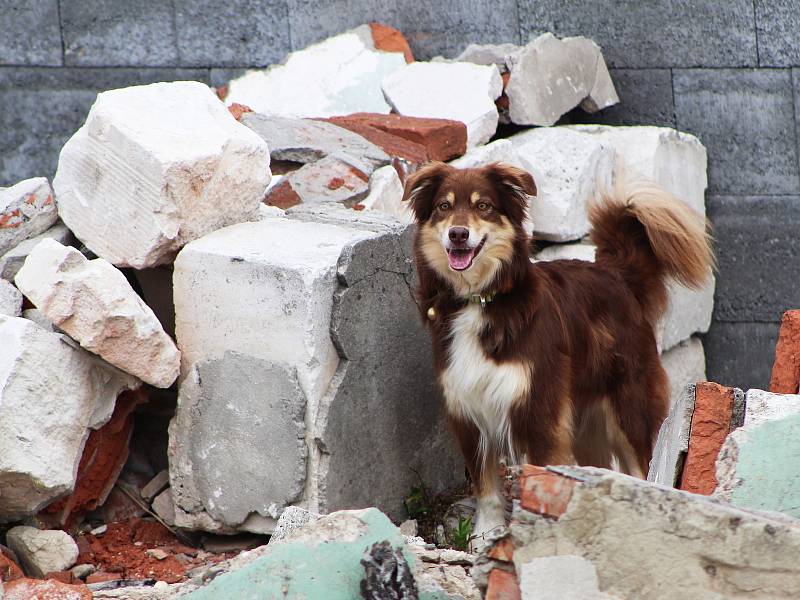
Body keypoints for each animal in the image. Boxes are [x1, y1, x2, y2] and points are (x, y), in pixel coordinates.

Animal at [404, 162, 716, 548]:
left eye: (484, 206)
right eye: (443, 207)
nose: (458, 235)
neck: (481, 300)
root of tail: (614, 274)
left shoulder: (539, 410)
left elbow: (537, 474)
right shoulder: (469, 413)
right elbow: (486, 487)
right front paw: (484, 536)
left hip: (629, 409)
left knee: (643, 466)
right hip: (585, 424)